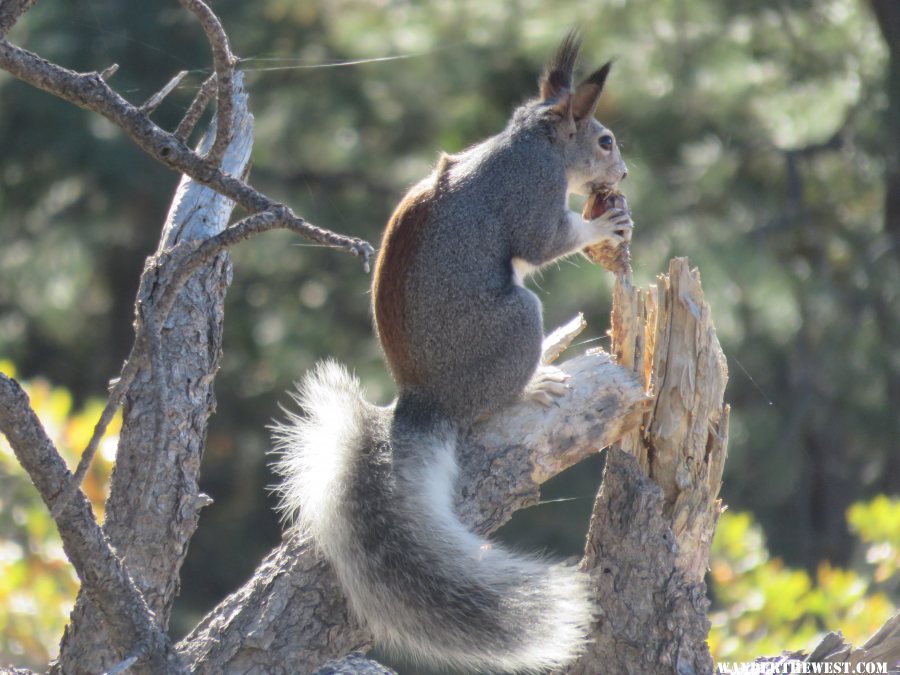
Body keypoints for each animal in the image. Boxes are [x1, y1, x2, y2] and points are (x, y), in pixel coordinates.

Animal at [274, 33, 632, 675]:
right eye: (605, 140)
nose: (623, 172)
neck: (533, 142)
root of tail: (428, 399)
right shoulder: (531, 195)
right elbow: (545, 241)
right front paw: (603, 226)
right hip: (517, 322)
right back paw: (534, 382)